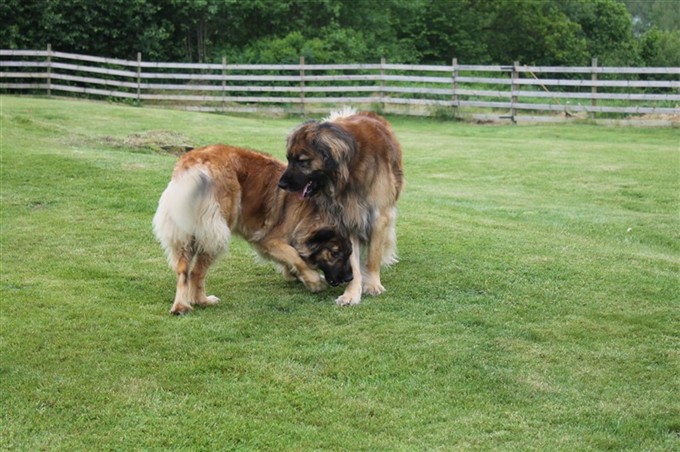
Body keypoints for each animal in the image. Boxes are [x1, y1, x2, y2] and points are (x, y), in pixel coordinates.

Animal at [152, 145, 354, 314]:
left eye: (349, 253)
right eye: (335, 253)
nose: (349, 277)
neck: (308, 212)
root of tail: (194, 162)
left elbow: (290, 258)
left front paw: (296, 275)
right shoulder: (269, 240)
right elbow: (295, 256)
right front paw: (313, 280)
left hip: (184, 234)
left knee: (183, 271)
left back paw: (181, 306)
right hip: (217, 230)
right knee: (196, 272)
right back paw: (202, 301)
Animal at [278, 108, 402, 306]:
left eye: (302, 161)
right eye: (288, 159)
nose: (280, 184)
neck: (349, 172)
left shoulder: (378, 216)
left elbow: (374, 255)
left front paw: (373, 284)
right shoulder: (348, 217)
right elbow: (352, 259)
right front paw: (351, 293)